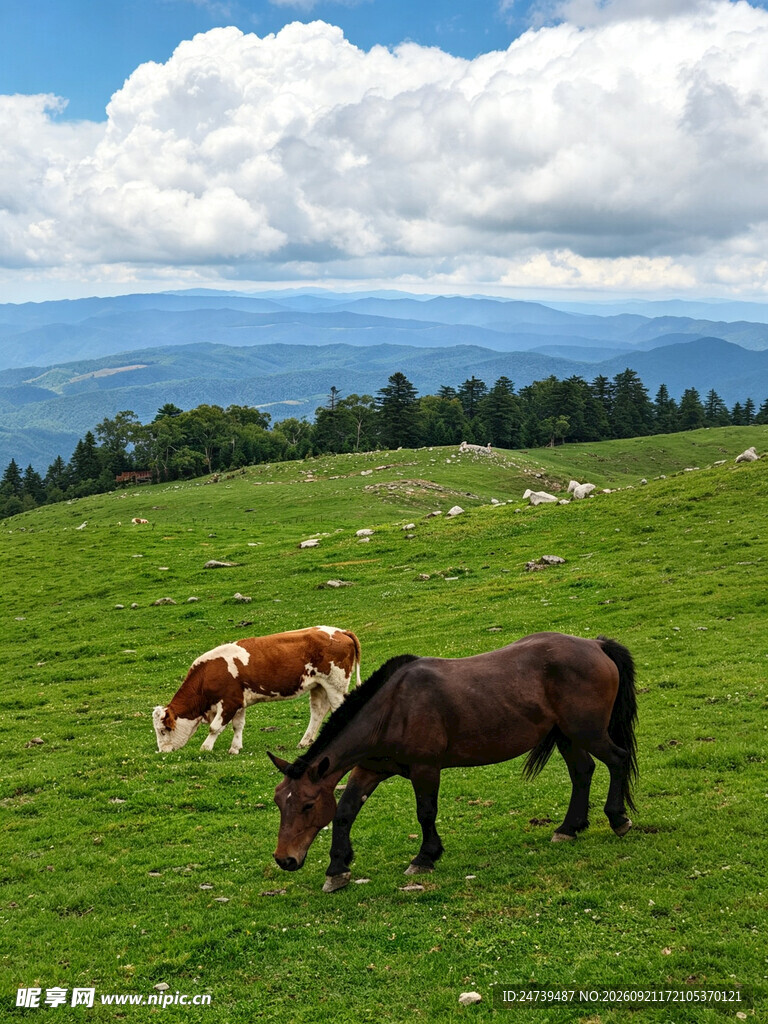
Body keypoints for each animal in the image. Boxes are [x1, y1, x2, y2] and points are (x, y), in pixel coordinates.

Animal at [268, 632, 638, 892]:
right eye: (280, 803)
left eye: (307, 805)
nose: (285, 859)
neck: (392, 708)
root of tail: (596, 645)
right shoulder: (369, 768)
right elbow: (344, 813)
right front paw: (337, 870)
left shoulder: (425, 769)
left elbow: (425, 813)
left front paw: (425, 857)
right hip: (567, 736)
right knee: (582, 772)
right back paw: (568, 828)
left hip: (587, 732)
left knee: (617, 761)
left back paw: (618, 818)